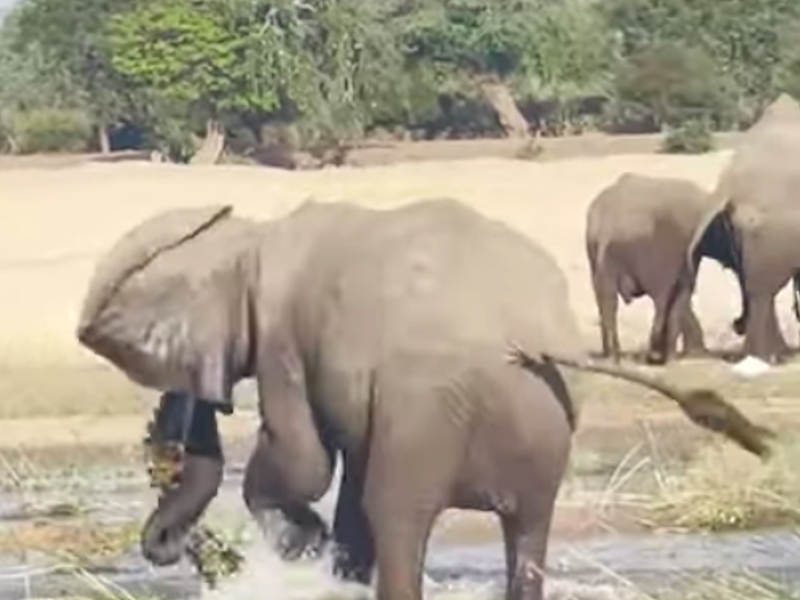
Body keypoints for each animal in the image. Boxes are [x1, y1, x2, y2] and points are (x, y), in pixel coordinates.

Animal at [75, 199, 773, 600]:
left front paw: (303, 543)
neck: (250, 237)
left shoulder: (282, 338)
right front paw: (322, 556)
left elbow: (306, 464)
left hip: (429, 410)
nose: (188, 548)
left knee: (398, 520)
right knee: (527, 534)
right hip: (537, 420)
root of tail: (526, 337)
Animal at [585, 172, 745, 363]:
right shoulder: (682, 245)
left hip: (597, 252)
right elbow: (683, 290)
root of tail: (605, 230)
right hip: (648, 249)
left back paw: (614, 357)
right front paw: (677, 357)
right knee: (660, 298)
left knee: (606, 300)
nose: (736, 324)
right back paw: (655, 355)